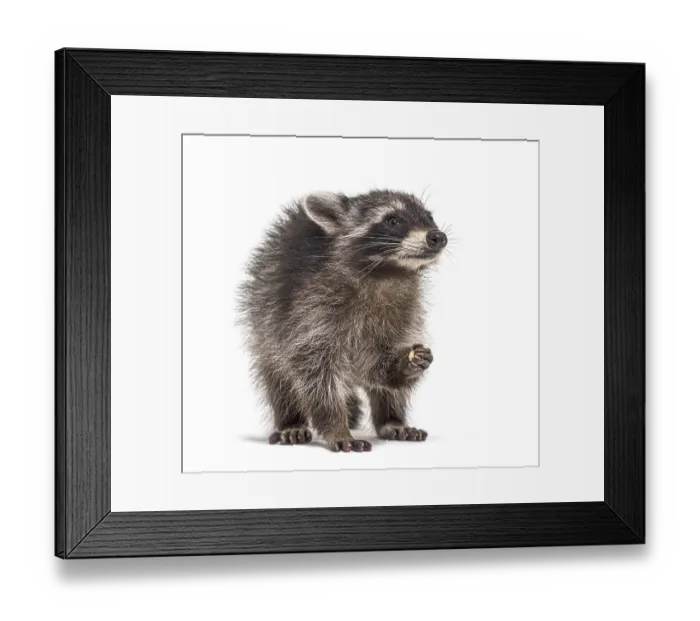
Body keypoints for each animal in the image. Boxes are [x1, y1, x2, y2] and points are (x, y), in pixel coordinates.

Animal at [238, 189, 448, 453]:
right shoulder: (310, 312)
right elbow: (316, 375)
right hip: (264, 321)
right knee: (278, 376)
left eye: (429, 217)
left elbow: (376, 364)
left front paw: (404, 364)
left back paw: (391, 419)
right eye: (392, 220)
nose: (438, 237)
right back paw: (290, 421)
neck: (387, 272)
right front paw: (336, 427)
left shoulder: (405, 312)